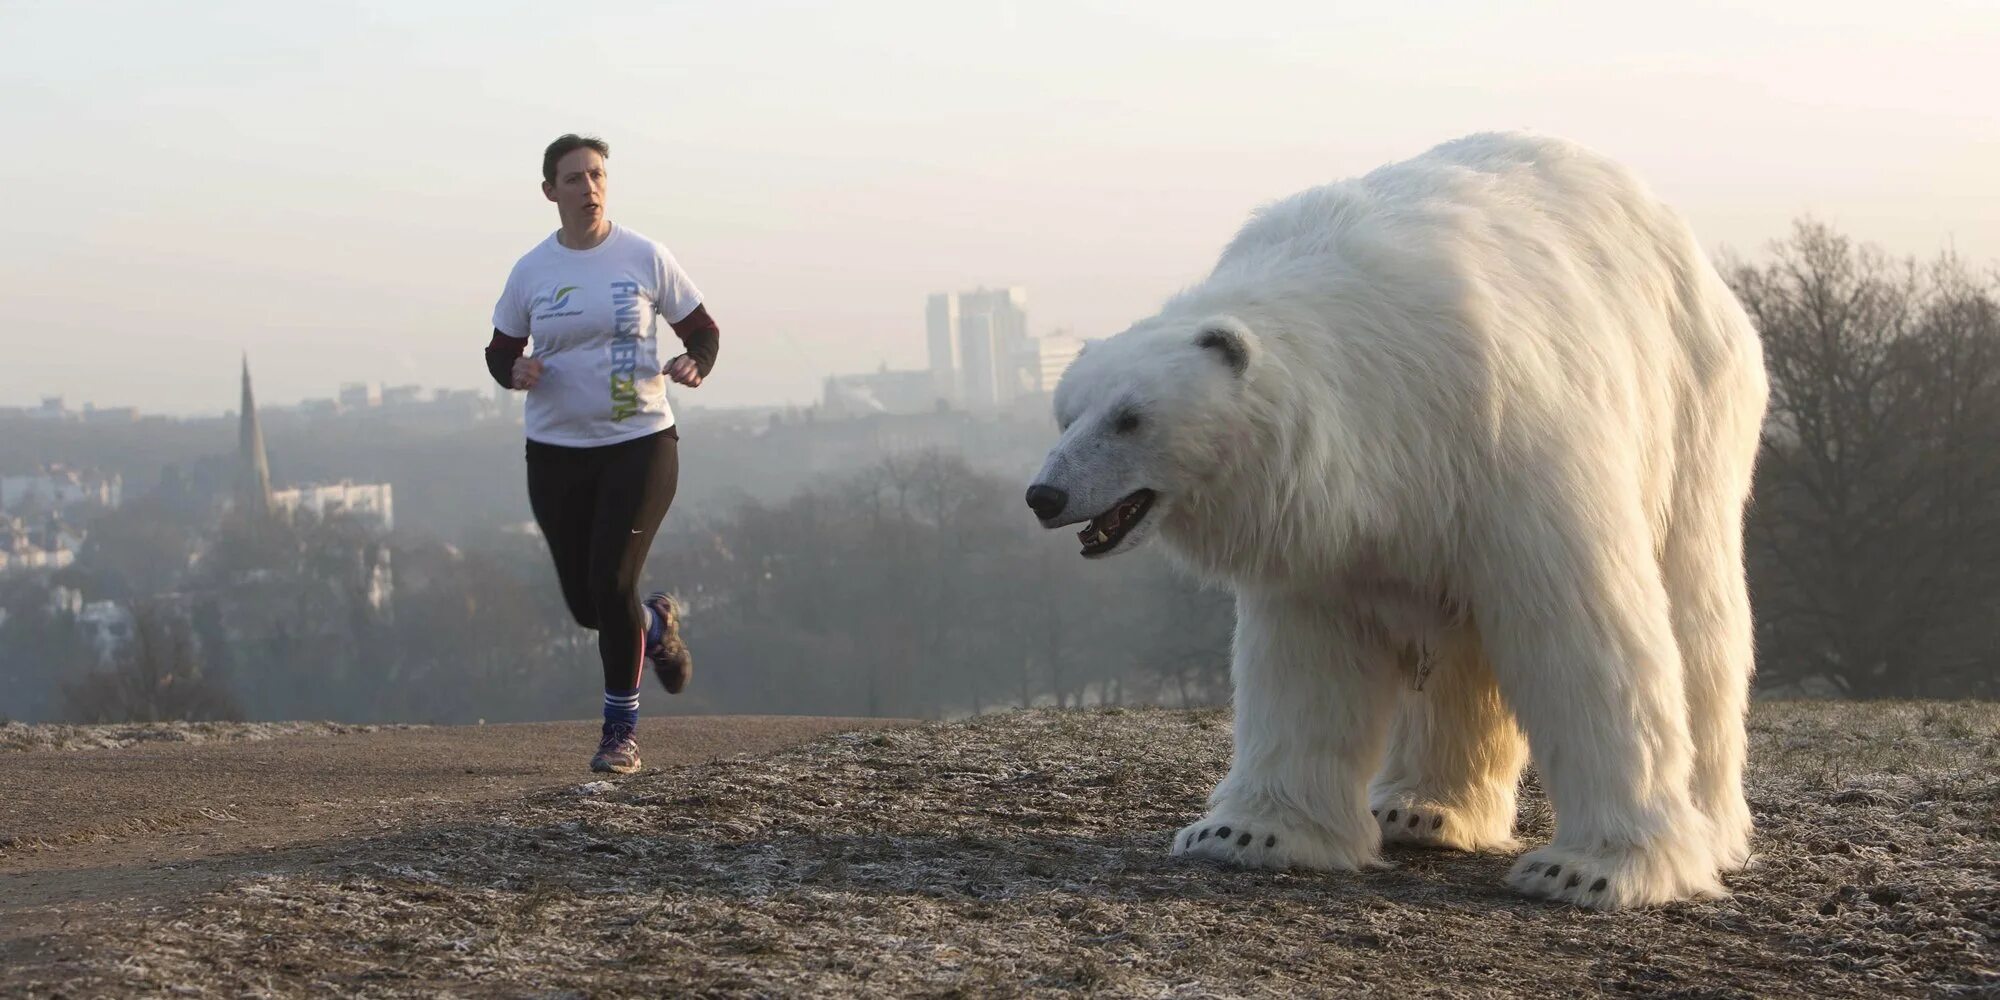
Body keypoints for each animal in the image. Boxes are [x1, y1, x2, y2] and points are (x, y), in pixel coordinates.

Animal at [1032, 131, 1768, 908]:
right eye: (1067, 413)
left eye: (1129, 417)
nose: (1044, 495)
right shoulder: (1326, 526)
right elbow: (1308, 659)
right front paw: (1244, 834)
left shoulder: (1504, 441)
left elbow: (1580, 629)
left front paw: (1592, 870)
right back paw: (1418, 809)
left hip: (1693, 402)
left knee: (1696, 608)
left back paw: (1711, 828)